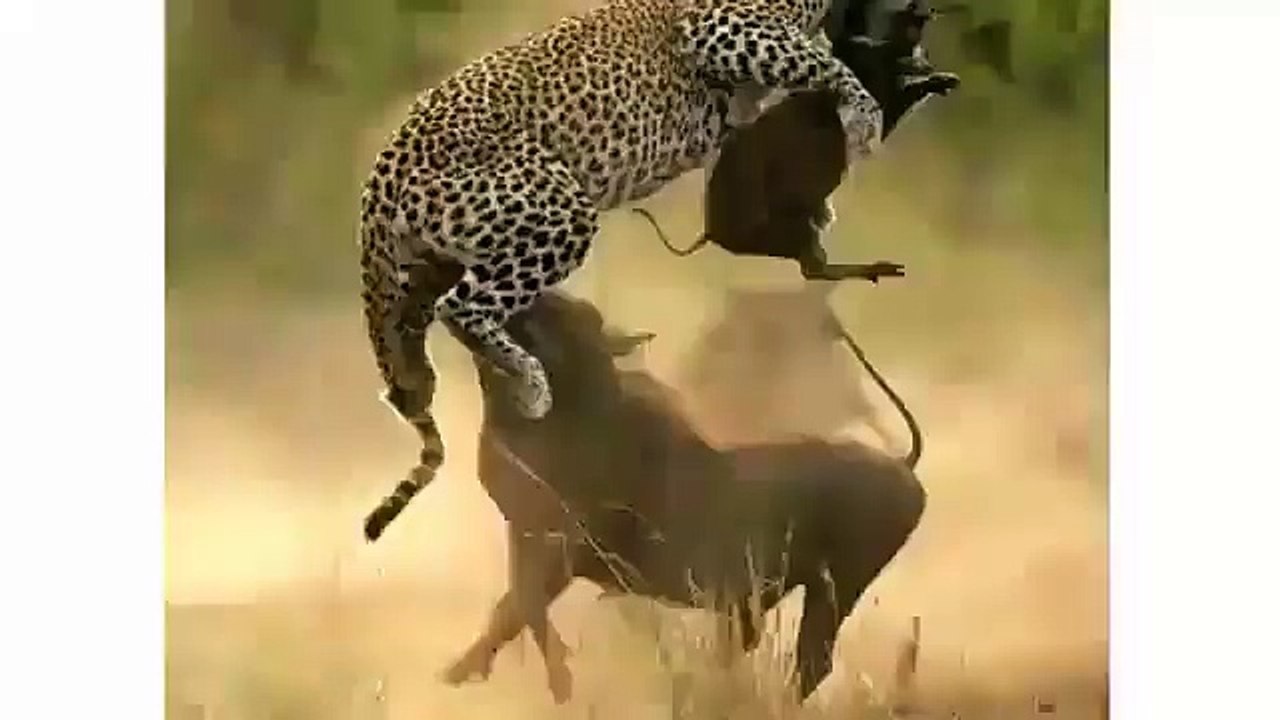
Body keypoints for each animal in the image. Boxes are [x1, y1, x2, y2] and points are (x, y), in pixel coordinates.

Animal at [359, 0, 884, 542]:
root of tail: (383, 171)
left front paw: (817, 206)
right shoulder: (723, 28)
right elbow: (823, 65)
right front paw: (865, 119)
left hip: (425, 274)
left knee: (411, 370)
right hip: (558, 209)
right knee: (463, 309)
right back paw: (531, 383)